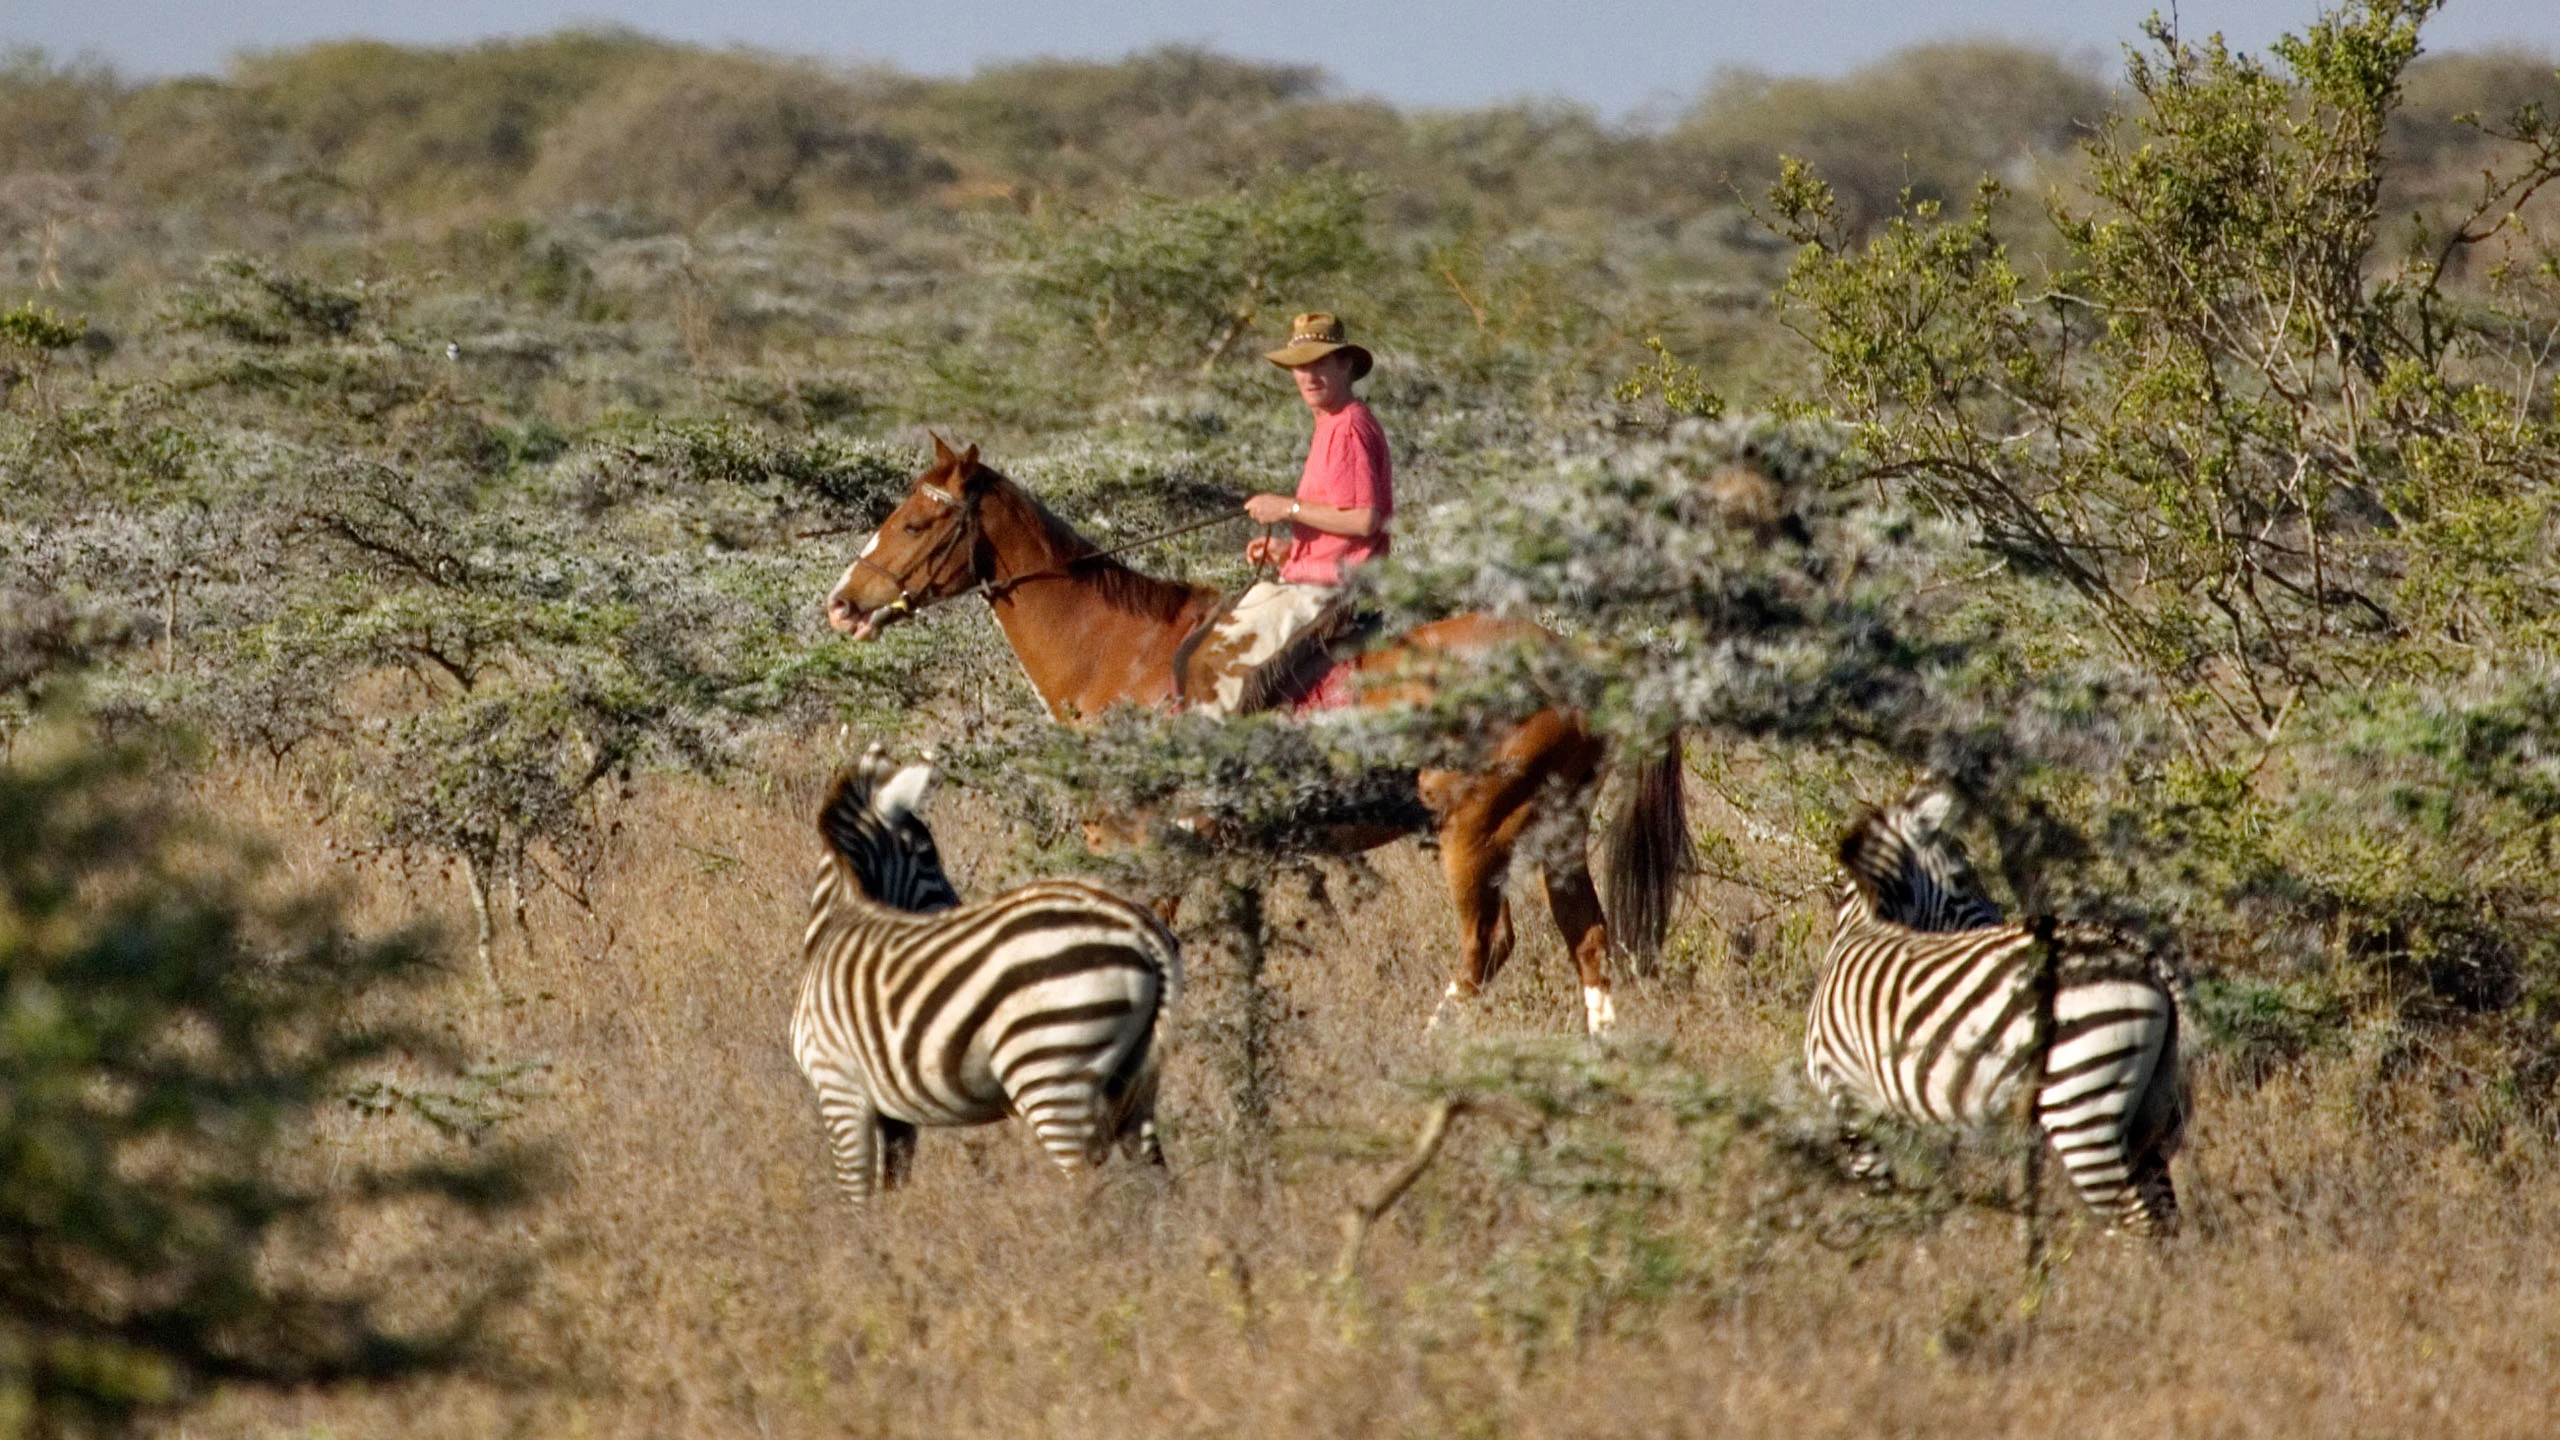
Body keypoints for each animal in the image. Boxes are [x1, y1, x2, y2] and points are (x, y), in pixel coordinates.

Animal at [793, 746, 1183, 1208]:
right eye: (928, 855)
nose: (955, 908)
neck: (838, 919)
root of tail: (1139, 926)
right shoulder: (892, 1111)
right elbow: (890, 1188)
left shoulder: (838, 1088)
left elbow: (855, 1197)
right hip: (1133, 1078)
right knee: (1157, 1178)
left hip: (1051, 1070)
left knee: (1086, 1183)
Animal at [1805, 787, 2187, 1236]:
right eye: (1961, 879)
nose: (2001, 921)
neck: (1863, 926)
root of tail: (2147, 961)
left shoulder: (1848, 1098)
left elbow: (1882, 1193)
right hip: (2146, 1108)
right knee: (2165, 1216)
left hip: (2082, 1101)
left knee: (2135, 1219)